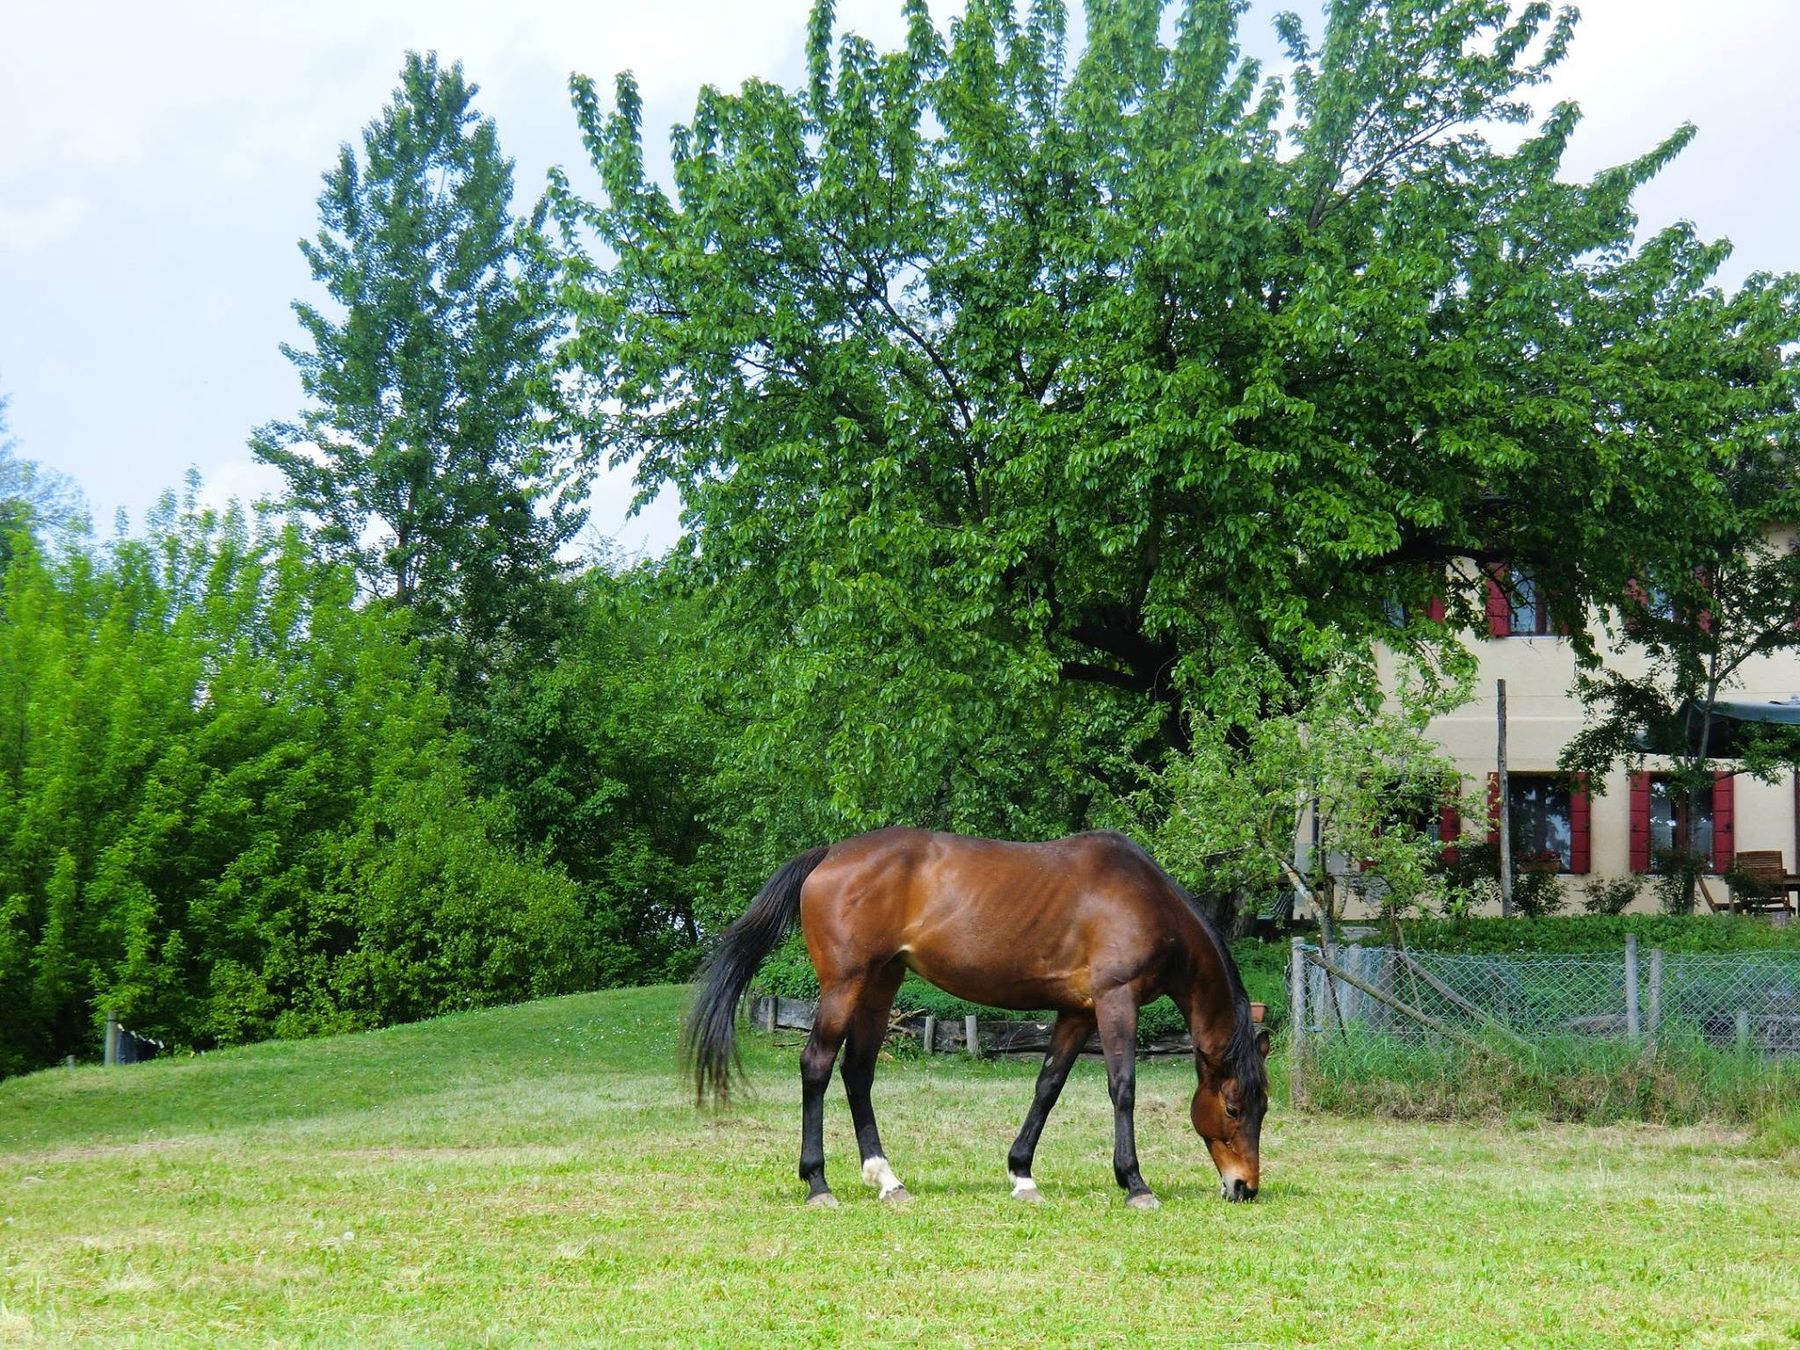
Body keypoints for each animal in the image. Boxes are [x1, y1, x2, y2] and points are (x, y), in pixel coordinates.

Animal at [683, 827, 1270, 1209]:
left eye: (1264, 1108)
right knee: (817, 1066)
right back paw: (818, 1184)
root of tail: (830, 854)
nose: (1245, 1187)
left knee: (858, 1072)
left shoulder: (1078, 1011)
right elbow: (1122, 1087)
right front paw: (1135, 1183)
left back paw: (887, 1180)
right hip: (845, 987)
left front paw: (1022, 1175)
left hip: (880, 985)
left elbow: (1047, 1086)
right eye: (1234, 1107)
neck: (1147, 900)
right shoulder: (1114, 1001)